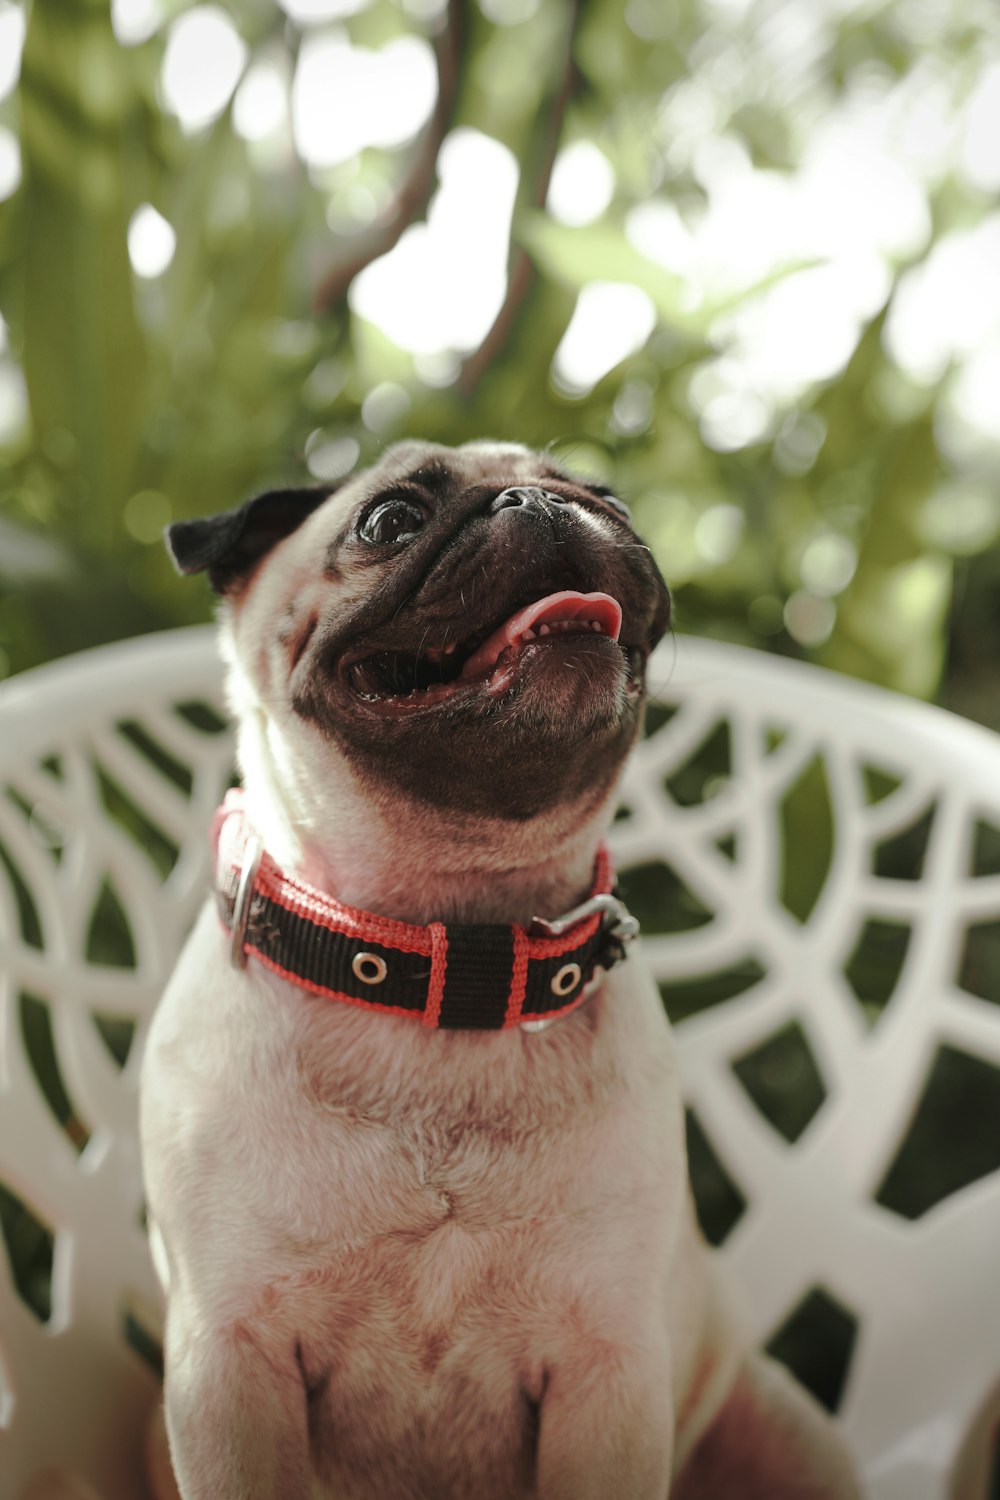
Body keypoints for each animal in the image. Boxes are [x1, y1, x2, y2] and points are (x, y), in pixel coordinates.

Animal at [140, 438, 863, 1494]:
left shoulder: (607, 1378)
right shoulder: (229, 1370)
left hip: (790, 1435)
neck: (452, 954)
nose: (540, 502)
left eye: (608, 500)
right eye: (390, 520)